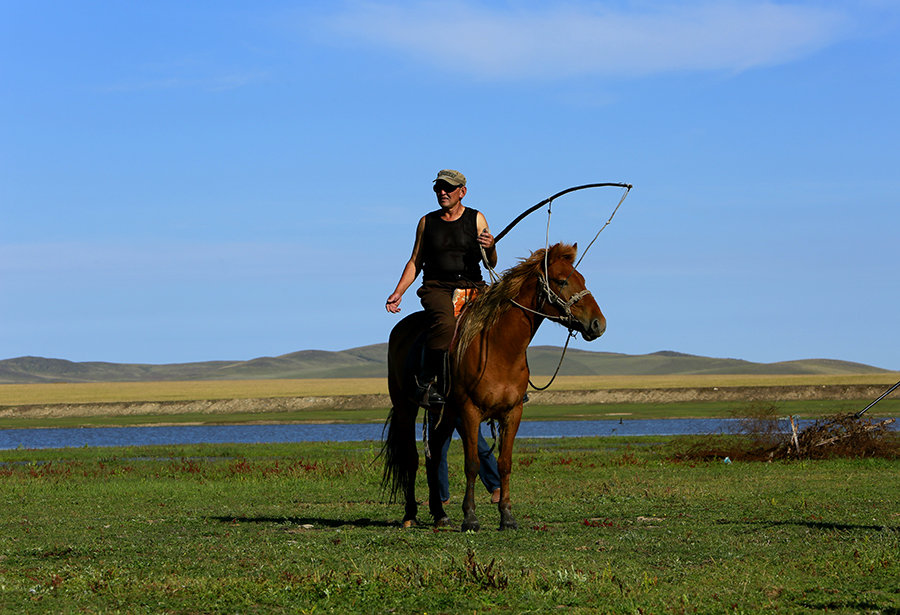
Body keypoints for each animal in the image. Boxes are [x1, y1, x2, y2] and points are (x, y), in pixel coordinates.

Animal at [380, 243, 604, 532]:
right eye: (562, 280)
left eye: (582, 279)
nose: (598, 323)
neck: (501, 347)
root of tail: (400, 329)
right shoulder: (470, 411)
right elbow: (472, 464)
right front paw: (470, 517)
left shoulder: (513, 412)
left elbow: (504, 464)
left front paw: (507, 516)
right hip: (406, 408)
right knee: (411, 457)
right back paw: (410, 514)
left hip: (445, 415)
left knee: (434, 458)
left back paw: (440, 514)